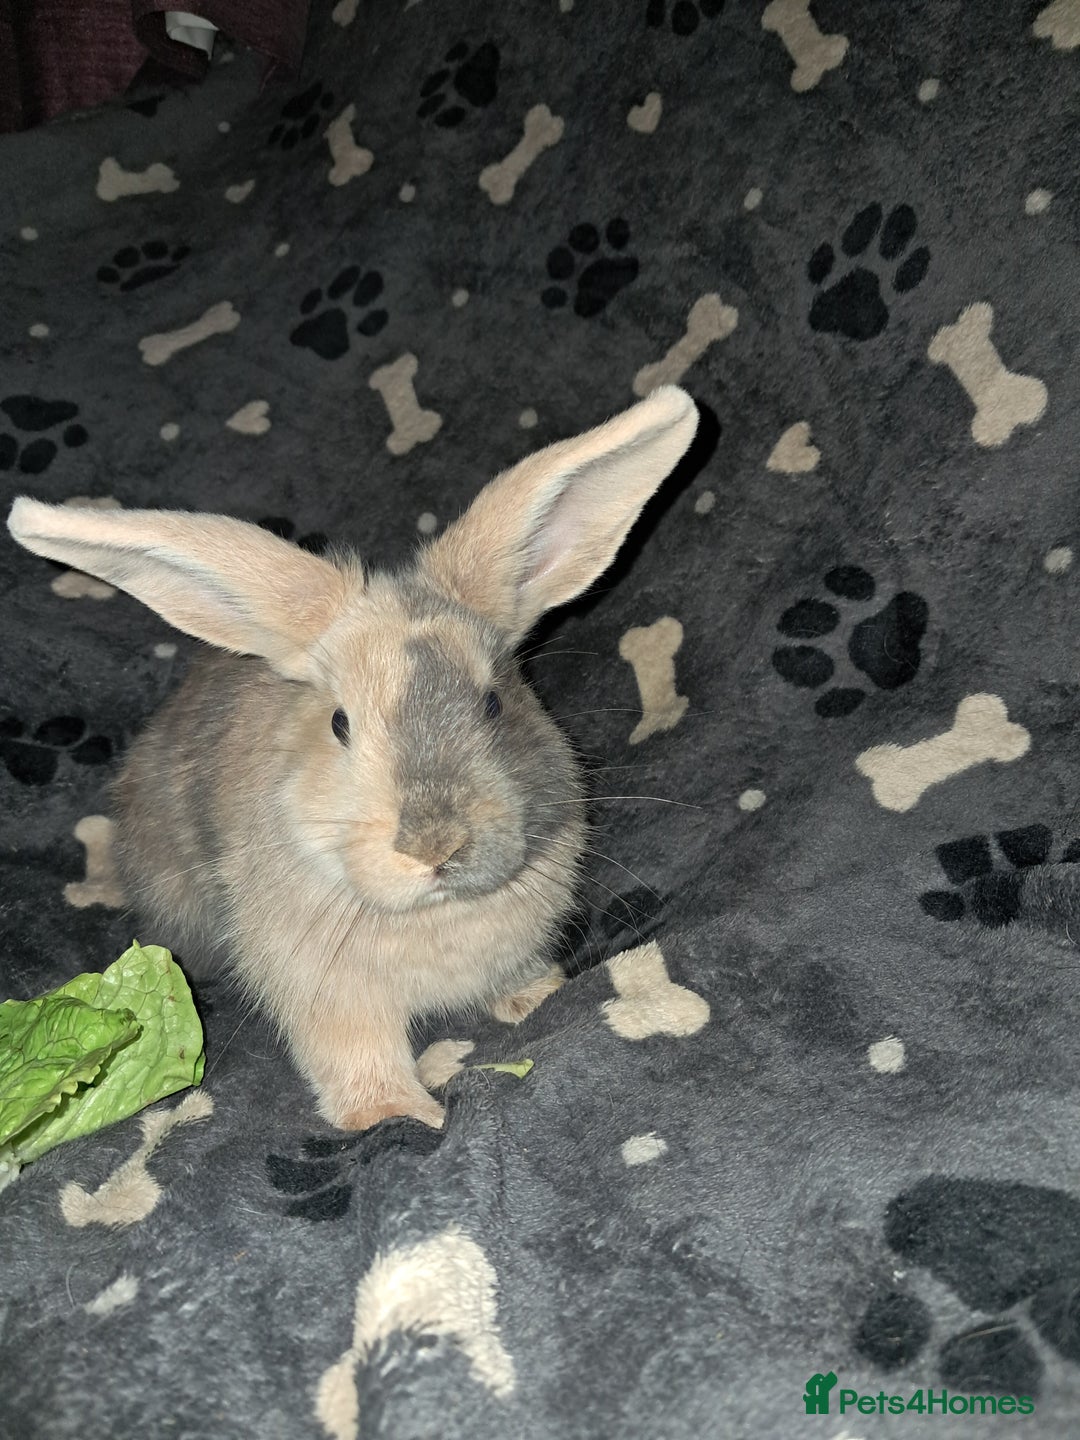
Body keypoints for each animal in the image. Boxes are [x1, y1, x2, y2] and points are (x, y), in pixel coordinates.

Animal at [7, 384, 699, 1131]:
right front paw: (394, 1116)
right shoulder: (327, 994)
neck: (432, 913)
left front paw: (534, 996)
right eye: (340, 723)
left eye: (494, 703)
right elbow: (356, 1054)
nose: (434, 845)